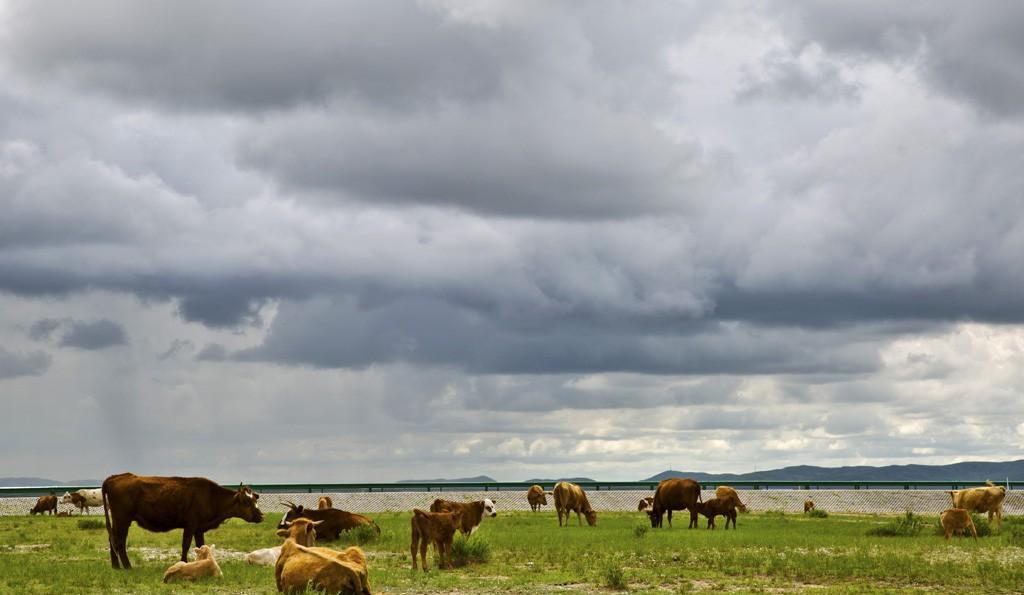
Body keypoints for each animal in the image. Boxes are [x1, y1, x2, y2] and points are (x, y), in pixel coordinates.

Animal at [101, 473, 262, 565]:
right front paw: (183, 562)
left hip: (117, 521)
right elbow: (186, 545)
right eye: (246, 501)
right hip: (122, 520)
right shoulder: (190, 525)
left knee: (112, 540)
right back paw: (127, 566)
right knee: (120, 542)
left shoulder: (199, 528)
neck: (210, 497)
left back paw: (116, 566)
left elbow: (201, 546)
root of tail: (115, 477)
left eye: (255, 499)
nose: (260, 516)